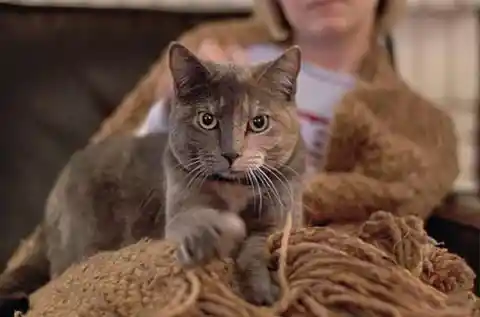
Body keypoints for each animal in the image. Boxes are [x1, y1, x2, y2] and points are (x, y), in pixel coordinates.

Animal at [0, 41, 306, 304]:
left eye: (259, 122)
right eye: (207, 120)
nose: (232, 154)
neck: (235, 187)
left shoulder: (282, 211)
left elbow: (262, 243)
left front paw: (264, 289)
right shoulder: (180, 197)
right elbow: (191, 219)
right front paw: (216, 231)